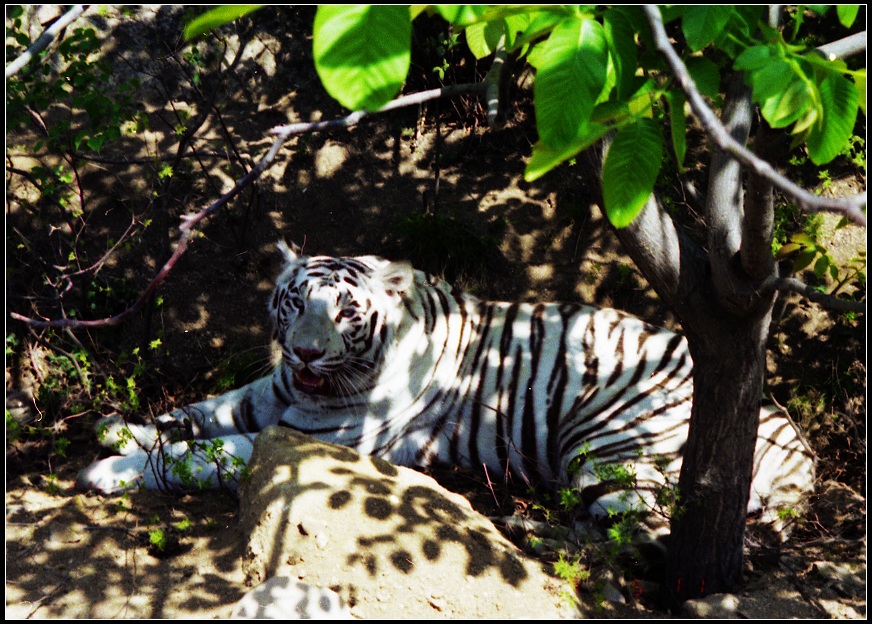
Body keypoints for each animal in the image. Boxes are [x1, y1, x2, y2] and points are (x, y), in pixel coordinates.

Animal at [78, 241, 816, 532]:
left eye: (344, 312)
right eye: (294, 303)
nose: (306, 352)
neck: (307, 389)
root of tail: (795, 440)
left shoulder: (306, 434)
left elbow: (197, 453)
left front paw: (107, 469)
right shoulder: (268, 392)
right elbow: (198, 411)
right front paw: (118, 427)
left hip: (609, 447)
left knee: (637, 533)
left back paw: (523, 523)